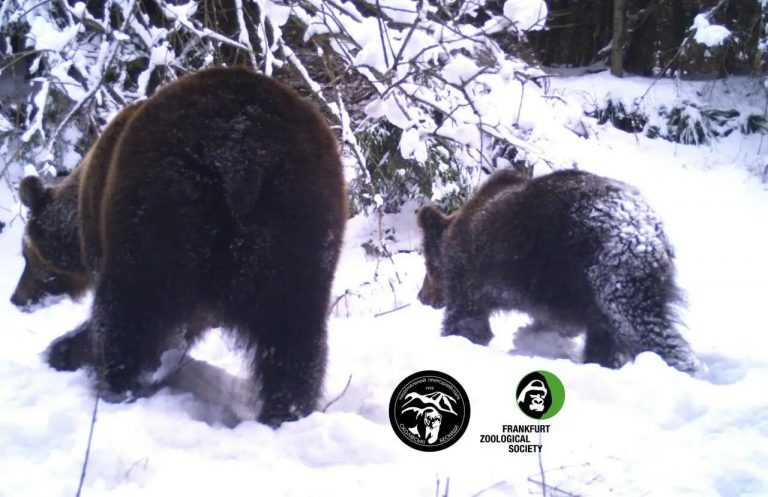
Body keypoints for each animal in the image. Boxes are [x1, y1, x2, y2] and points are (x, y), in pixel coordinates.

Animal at [10, 67, 346, 426]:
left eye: (26, 255)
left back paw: (114, 383)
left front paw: (64, 350)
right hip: (299, 215)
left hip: (160, 209)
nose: (16, 297)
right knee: (294, 333)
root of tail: (241, 146)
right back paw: (286, 411)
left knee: (130, 310)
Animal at [420, 169, 704, 374]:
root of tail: (649, 229)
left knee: (638, 323)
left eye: (427, 266)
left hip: (609, 272)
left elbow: (466, 320)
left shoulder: (470, 276)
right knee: (607, 333)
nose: (421, 296)